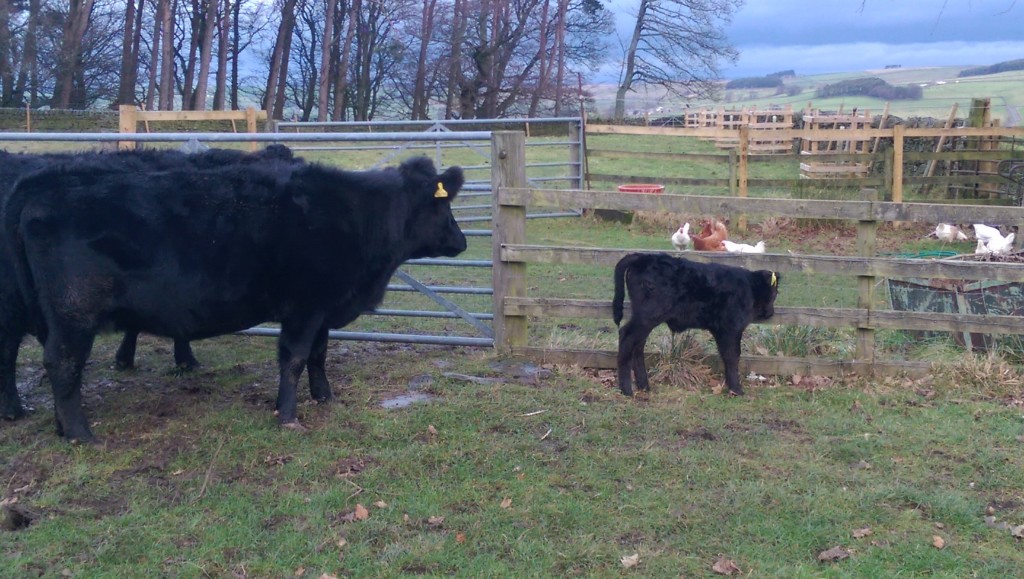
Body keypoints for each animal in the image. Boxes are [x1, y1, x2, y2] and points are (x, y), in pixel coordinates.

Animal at [610, 254, 778, 397]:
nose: (771, 313)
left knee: (638, 345)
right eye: (776, 292)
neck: (748, 287)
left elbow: (725, 354)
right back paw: (626, 389)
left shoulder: (721, 330)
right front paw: (736, 389)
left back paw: (644, 385)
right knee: (626, 336)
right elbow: (732, 355)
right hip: (648, 316)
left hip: (645, 320)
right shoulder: (731, 328)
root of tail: (644, 256)